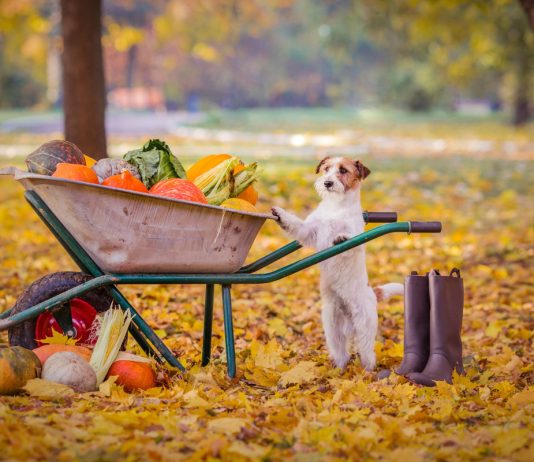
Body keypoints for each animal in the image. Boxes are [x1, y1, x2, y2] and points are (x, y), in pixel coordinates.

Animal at [274, 157, 404, 370]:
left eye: (343, 170)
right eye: (326, 169)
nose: (327, 182)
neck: (336, 207)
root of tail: (372, 293)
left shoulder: (356, 240)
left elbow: (348, 239)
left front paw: (341, 237)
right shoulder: (310, 230)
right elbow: (297, 225)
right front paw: (280, 215)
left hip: (365, 326)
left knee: (367, 354)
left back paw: (368, 372)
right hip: (332, 327)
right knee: (342, 353)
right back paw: (338, 370)